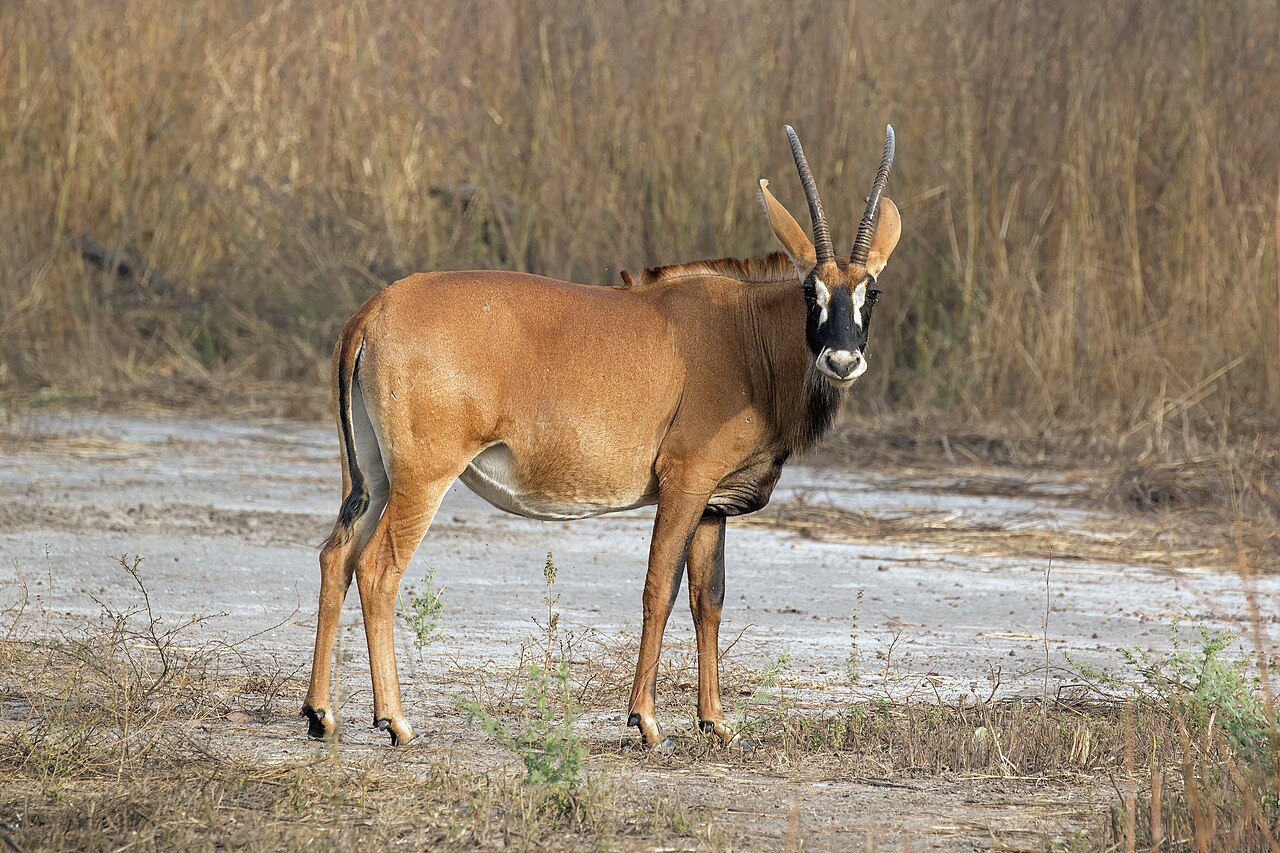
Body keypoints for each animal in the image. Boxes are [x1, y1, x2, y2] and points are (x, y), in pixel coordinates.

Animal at [302, 125, 900, 748]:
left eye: (872, 291)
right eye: (811, 290)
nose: (842, 359)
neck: (748, 334)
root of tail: (374, 311)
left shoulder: (714, 506)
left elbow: (708, 600)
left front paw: (715, 721)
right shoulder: (685, 484)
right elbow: (660, 589)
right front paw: (647, 720)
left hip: (371, 478)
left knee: (336, 556)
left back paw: (321, 713)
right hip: (422, 479)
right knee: (377, 569)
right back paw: (395, 720)